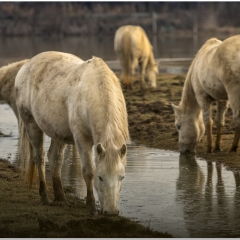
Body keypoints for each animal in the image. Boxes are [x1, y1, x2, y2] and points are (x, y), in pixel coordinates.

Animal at [15, 51, 129, 216]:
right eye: (100, 178)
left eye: (122, 177)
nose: (111, 212)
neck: (95, 89)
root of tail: (26, 66)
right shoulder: (82, 139)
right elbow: (88, 171)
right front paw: (91, 206)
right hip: (31, 124)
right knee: (40, 157)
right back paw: (44, 197)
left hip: (58, 132)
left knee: (55, 158)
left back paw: (61, 198)